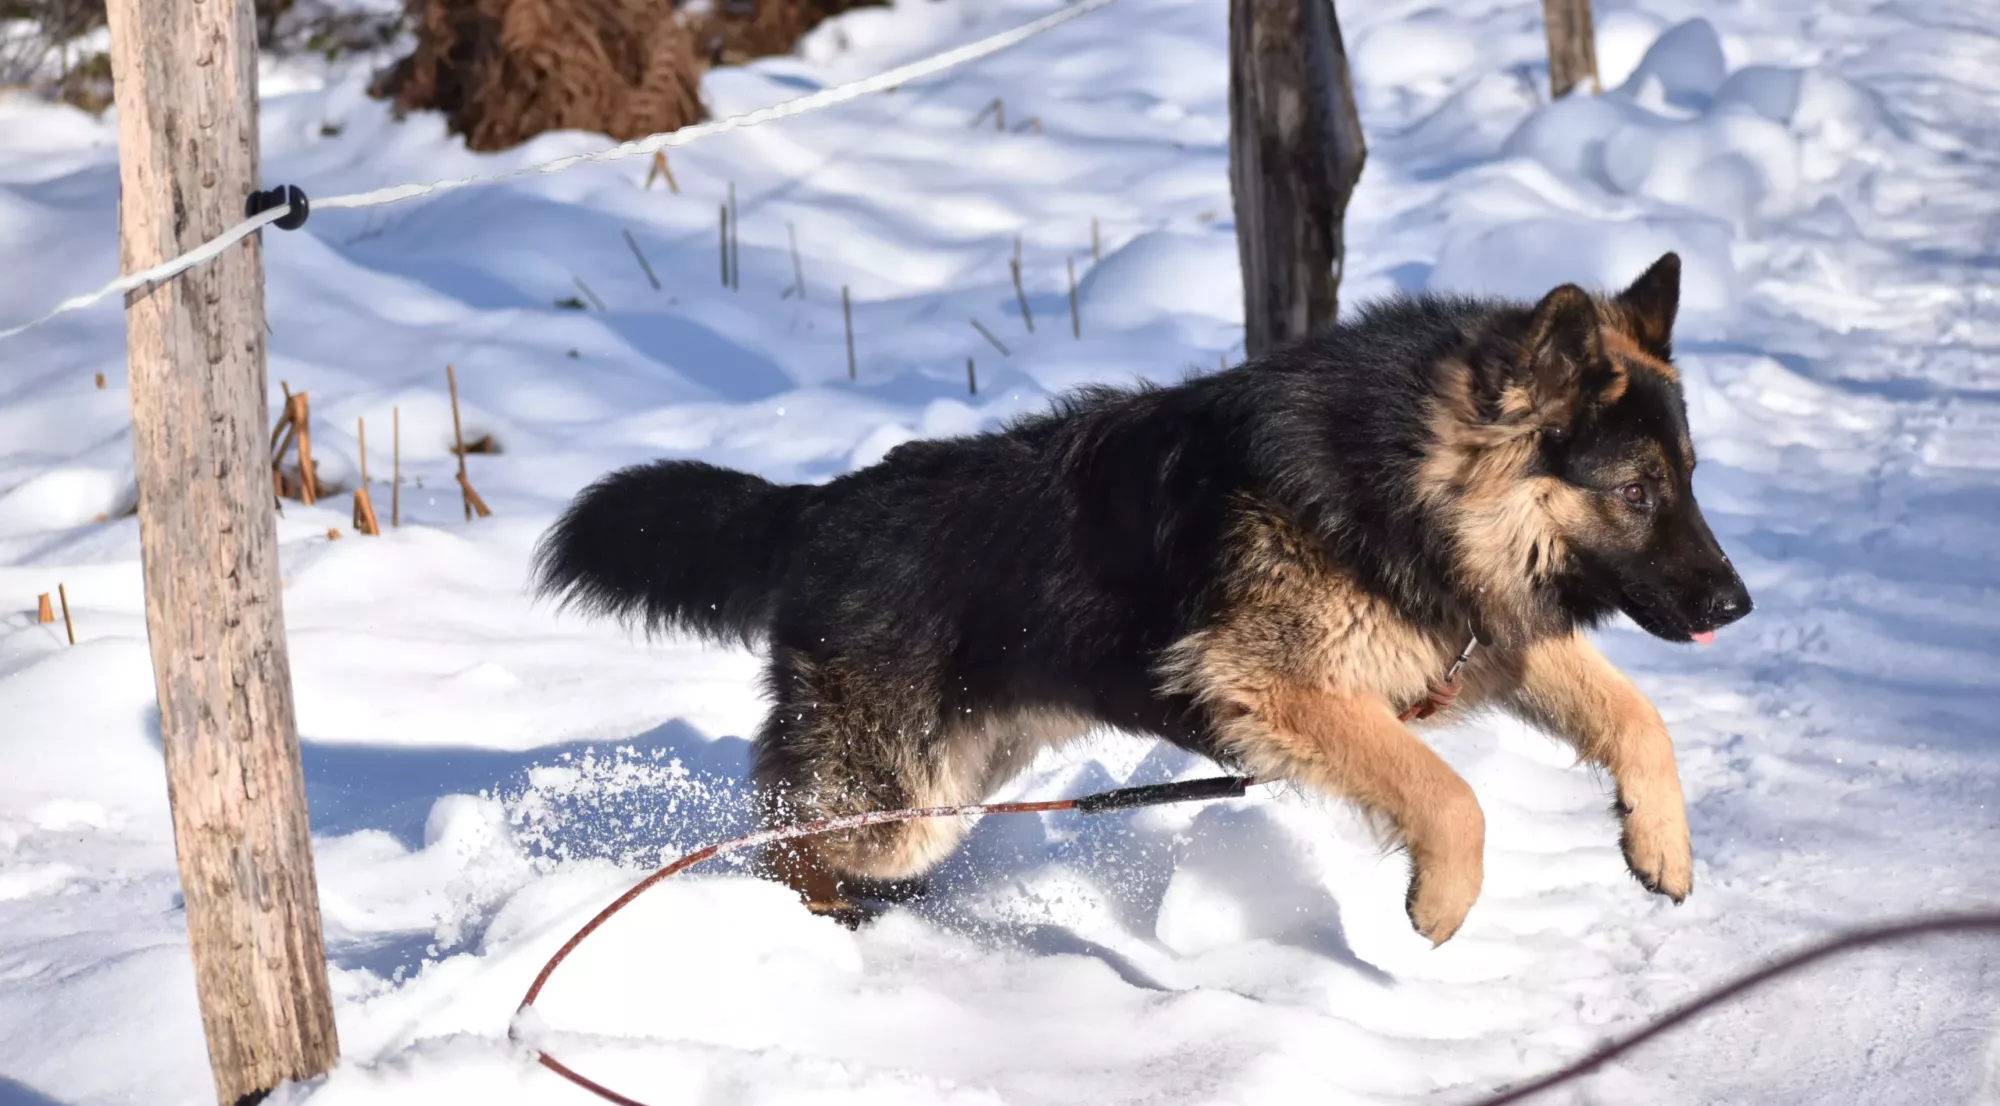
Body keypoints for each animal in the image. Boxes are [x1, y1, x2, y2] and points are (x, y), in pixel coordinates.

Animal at [544, 254, 1752, 944]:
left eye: (1692, 477)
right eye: (1637, 490)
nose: (1736, 605)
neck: (1397, 480)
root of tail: (822, 507)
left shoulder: (1481, 635)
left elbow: (1635, 716)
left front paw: (1662, 843)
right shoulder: (1274, 689)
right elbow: (1448, 794)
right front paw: (1443, 899)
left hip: (950, 792)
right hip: (900, 803)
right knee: (783, 844)